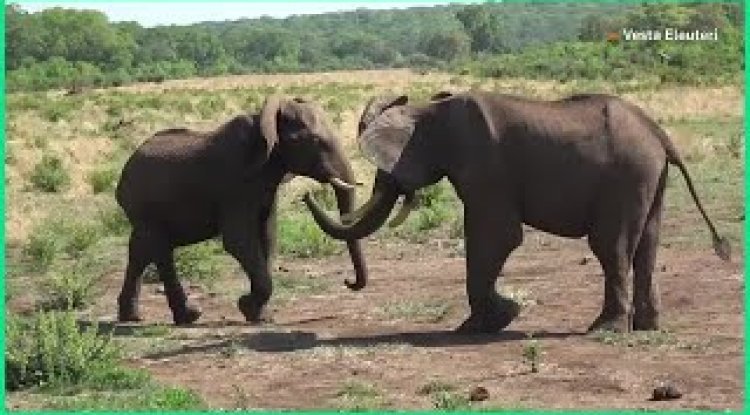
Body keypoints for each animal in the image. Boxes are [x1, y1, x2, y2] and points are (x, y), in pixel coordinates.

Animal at [115, 95, 367, 325]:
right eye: (315, 141)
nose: (348, 282)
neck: (264, 123)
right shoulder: (234, 185)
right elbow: (239, 240)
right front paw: (246, 305)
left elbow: (267, 237)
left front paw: (258, 315)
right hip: (145, 205)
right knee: (158, 248)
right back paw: (187, 316)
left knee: (141, 249)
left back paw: (134, 317)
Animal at [303, 91, 731, 334]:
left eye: (385, 170)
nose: (307, 194)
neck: (431, 108)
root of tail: (658, 132)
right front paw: (498, 317)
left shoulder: (484, 167)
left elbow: (495, 235)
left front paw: (491, 322)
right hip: (648, 175)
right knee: (646, 247)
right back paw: (646, 328)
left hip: (627, 173)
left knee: (612, 246)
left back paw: (605, 330)